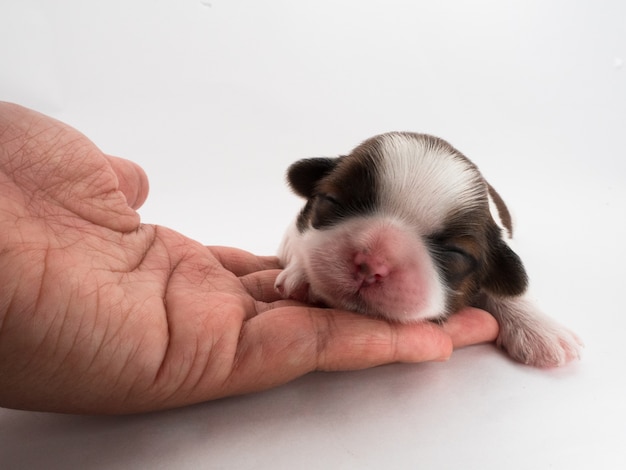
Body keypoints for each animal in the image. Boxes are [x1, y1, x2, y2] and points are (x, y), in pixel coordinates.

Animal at [276, 131, 584, 368]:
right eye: (332, 201)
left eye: (455, 254)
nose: (371, 264)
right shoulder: (293, 228)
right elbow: (298, 243)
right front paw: (302, 276)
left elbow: (511, 288)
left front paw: (540, 328)